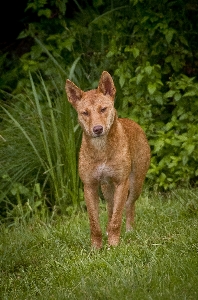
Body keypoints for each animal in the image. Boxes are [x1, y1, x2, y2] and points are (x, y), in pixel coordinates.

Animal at [65, 71, 150, 248]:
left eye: (103, 109)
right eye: (85, 113)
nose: (97, 129)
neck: (101, 151)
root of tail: (133, 123)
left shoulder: (121, 183)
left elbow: (117, 220)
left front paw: (114, 246)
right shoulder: (89, 187)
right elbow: (95, 223)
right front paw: (96, 248)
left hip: (135, 184)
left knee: (129, 206)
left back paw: (129, 230)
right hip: (107, 189)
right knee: (111, 210)